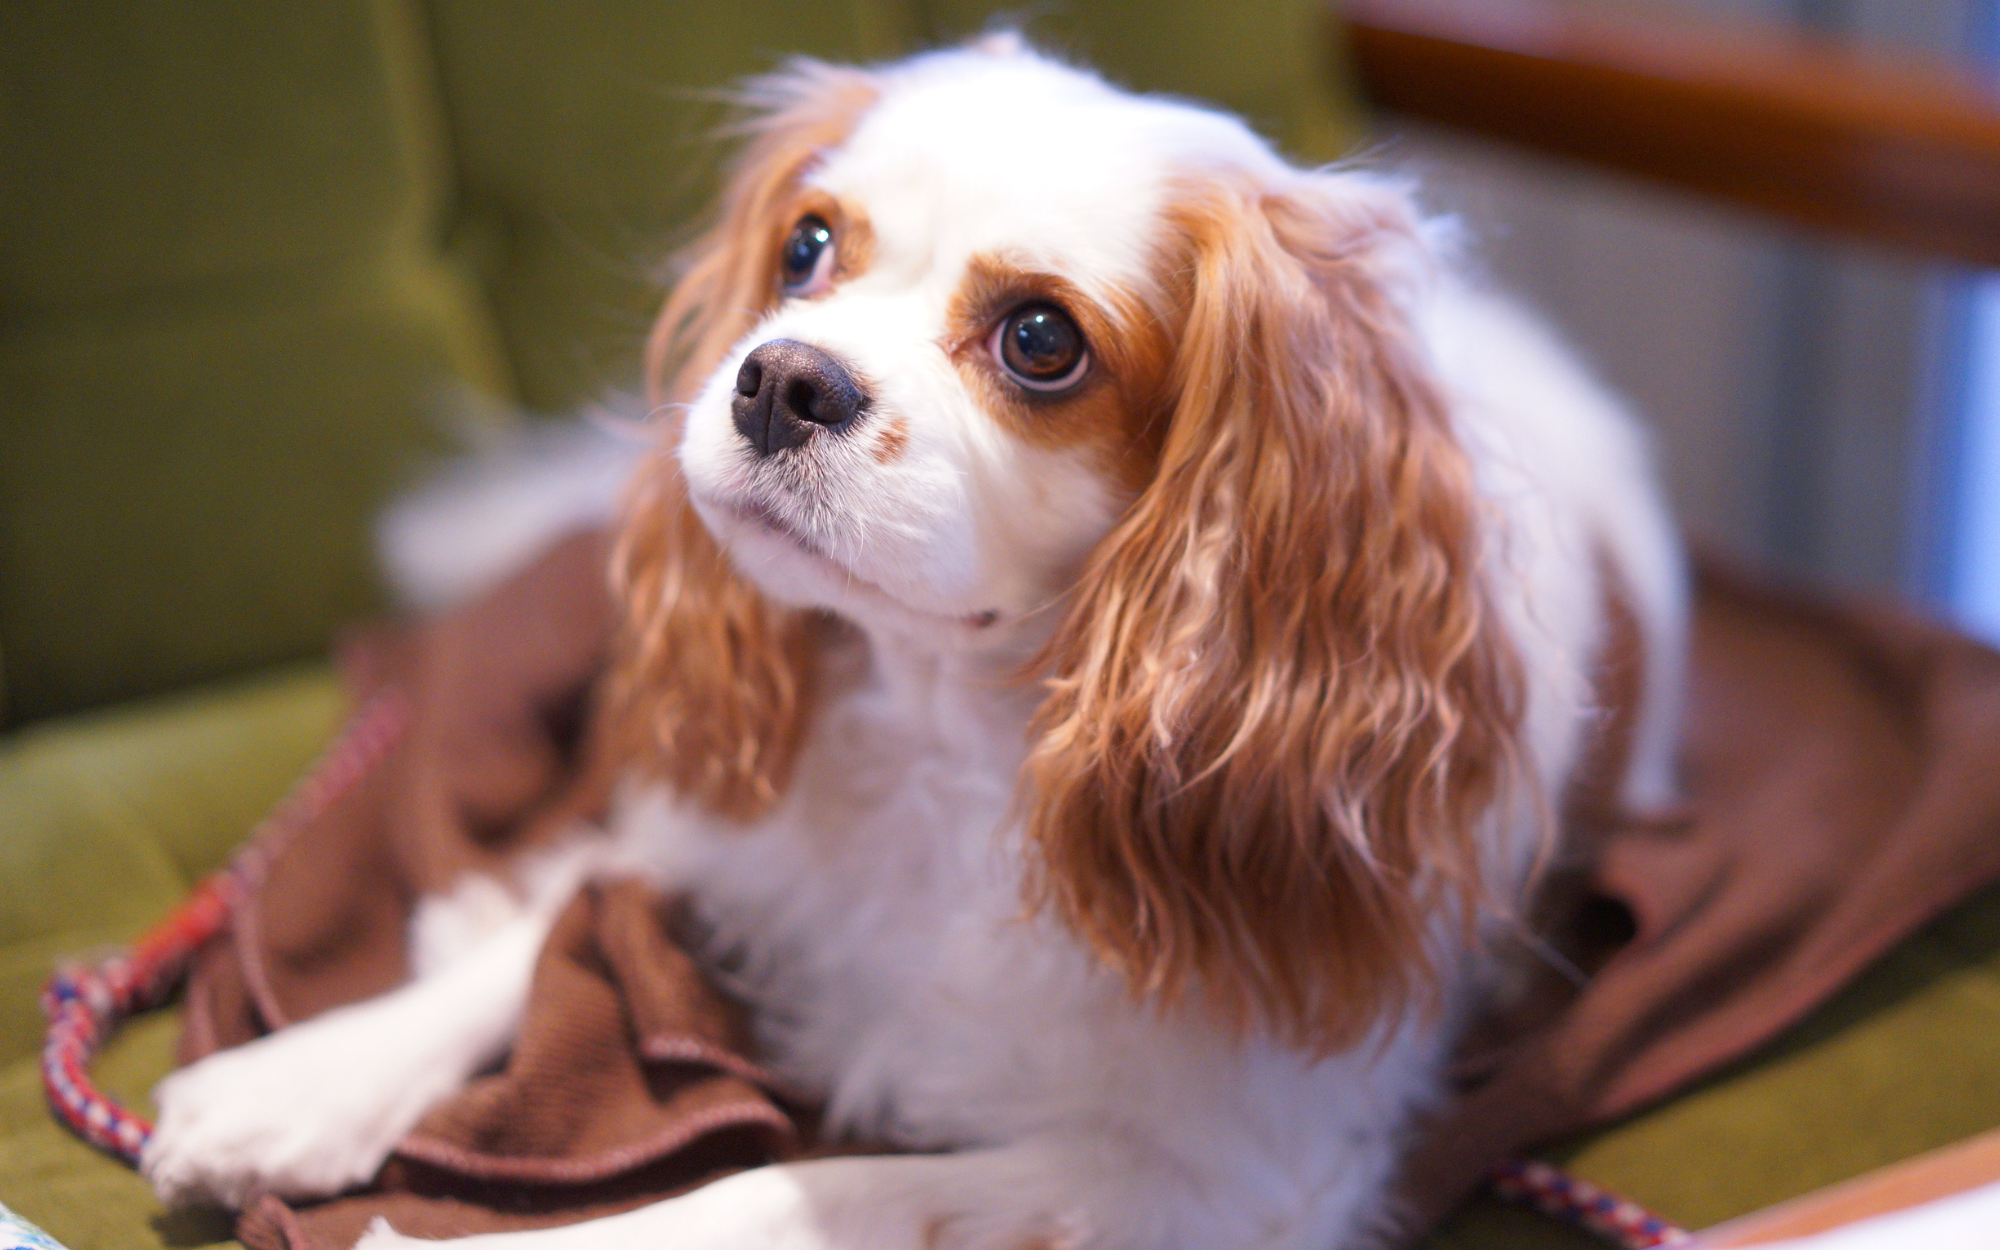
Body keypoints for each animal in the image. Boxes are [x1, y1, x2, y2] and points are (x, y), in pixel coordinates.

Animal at [137, 39, 1688, 1248]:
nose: (780, 376)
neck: (953, 723)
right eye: (807, 246)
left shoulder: (1207, 1172)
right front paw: (302, 1082)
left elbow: (792, 1191)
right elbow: (552, 920)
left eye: (1042, 339)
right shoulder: (724, 831)